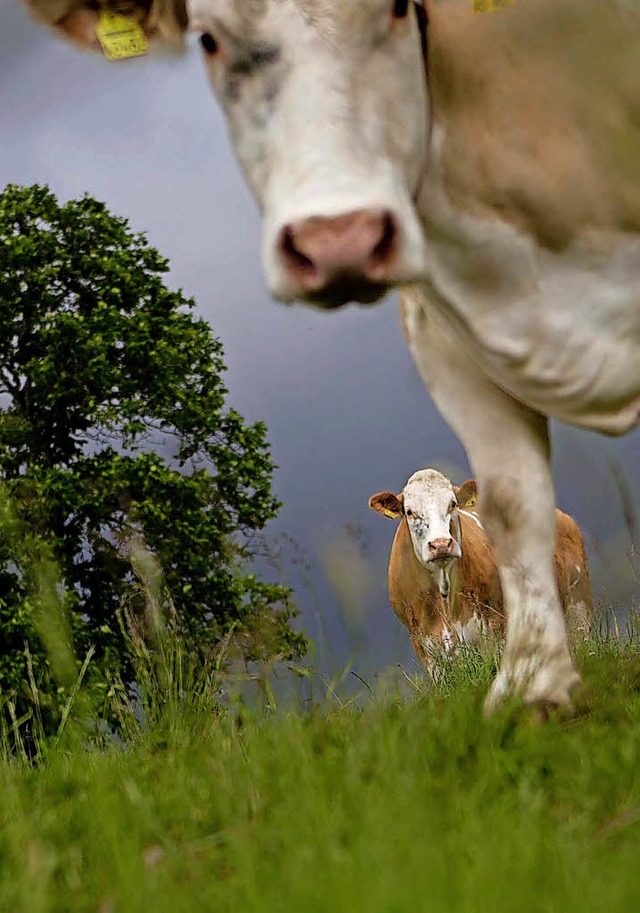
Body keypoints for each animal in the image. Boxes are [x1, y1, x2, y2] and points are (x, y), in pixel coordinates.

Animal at [370, 470, 596, 668]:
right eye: (409, 511)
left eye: (452, 504)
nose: (441, 544)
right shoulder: (425, 648)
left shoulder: (497, 630)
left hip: (579, 612)